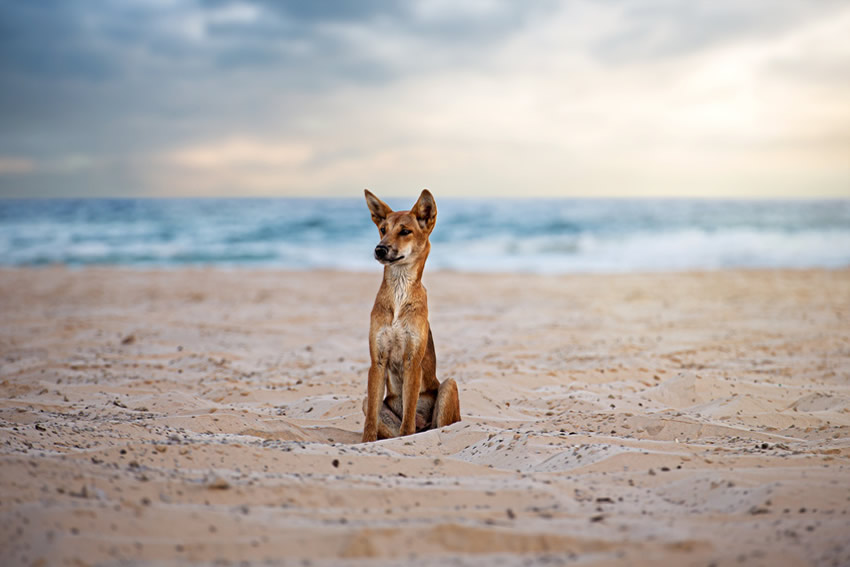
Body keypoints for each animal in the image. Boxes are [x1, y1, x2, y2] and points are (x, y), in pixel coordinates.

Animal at [362, 189, 460, 442]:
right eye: (383, 229)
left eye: (405, 231)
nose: (379, 249)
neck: (399, 291)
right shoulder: (377, 362)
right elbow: (370, 421)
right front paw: (366, 443)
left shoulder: (412, 361)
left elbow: (408, 422)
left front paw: (408, 438)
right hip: (370, 402)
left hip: (449, 386)